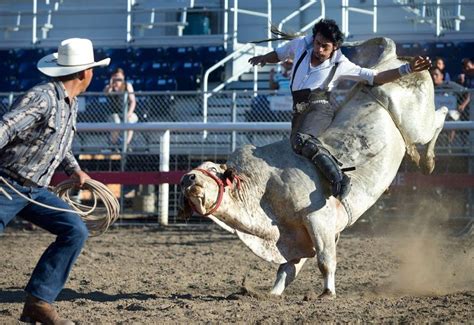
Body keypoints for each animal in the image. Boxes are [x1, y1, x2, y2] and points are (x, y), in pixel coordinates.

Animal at [179, 37, 448, 296]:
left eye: (213, 170)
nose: (187, 178)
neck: (263, 188)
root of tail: (388, 59)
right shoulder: (297, 236)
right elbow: (287, 268)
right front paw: (271, 293)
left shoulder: (318, 219)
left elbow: (325, 260)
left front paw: (327, 292)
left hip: (418, 124)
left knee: (440, 116)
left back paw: (427, 160)